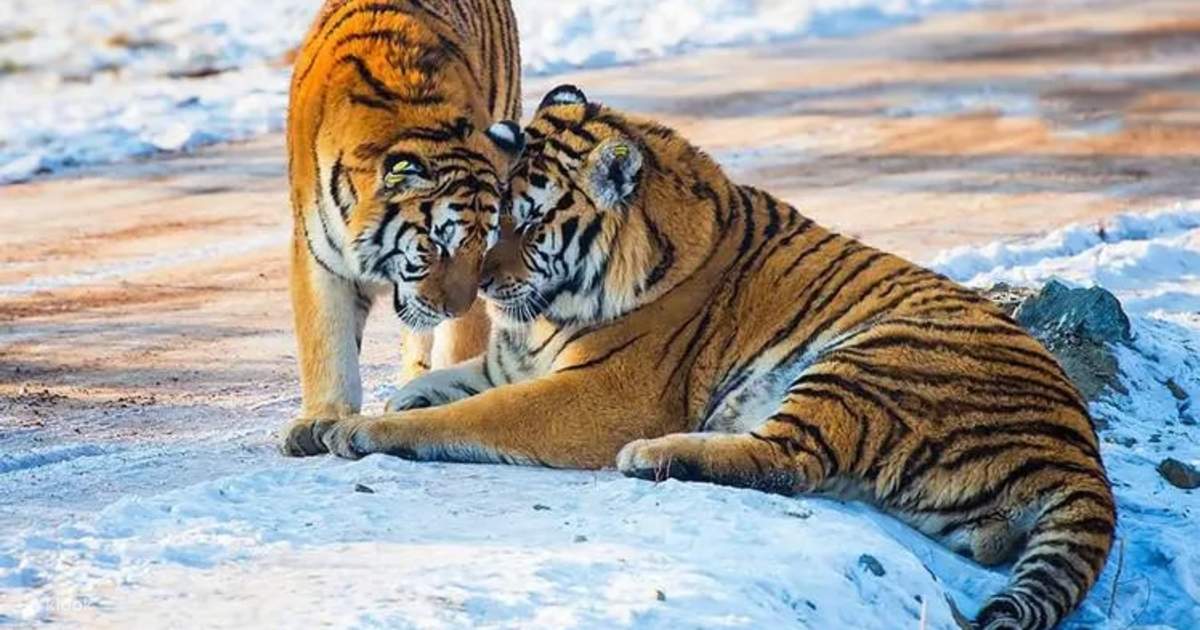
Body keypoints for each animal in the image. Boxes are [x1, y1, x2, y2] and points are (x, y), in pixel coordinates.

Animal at [282, 0, 524, 454]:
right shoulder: (317, 255)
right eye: (437, 245)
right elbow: (327, 338)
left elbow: (458, 342)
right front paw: (321, 418)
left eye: (483, 248)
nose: (456, 307)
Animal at [299, 85, 1117, 629]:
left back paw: (656, 454)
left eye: (530, 223)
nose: (483, 288)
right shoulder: (517, 357)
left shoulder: (599, 395)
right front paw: (404, 395)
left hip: (869, 359)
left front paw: (363, 429)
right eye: (494, 217)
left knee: (790, 460)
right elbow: (454, 380)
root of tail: (1081, 451)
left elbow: (478, 413)